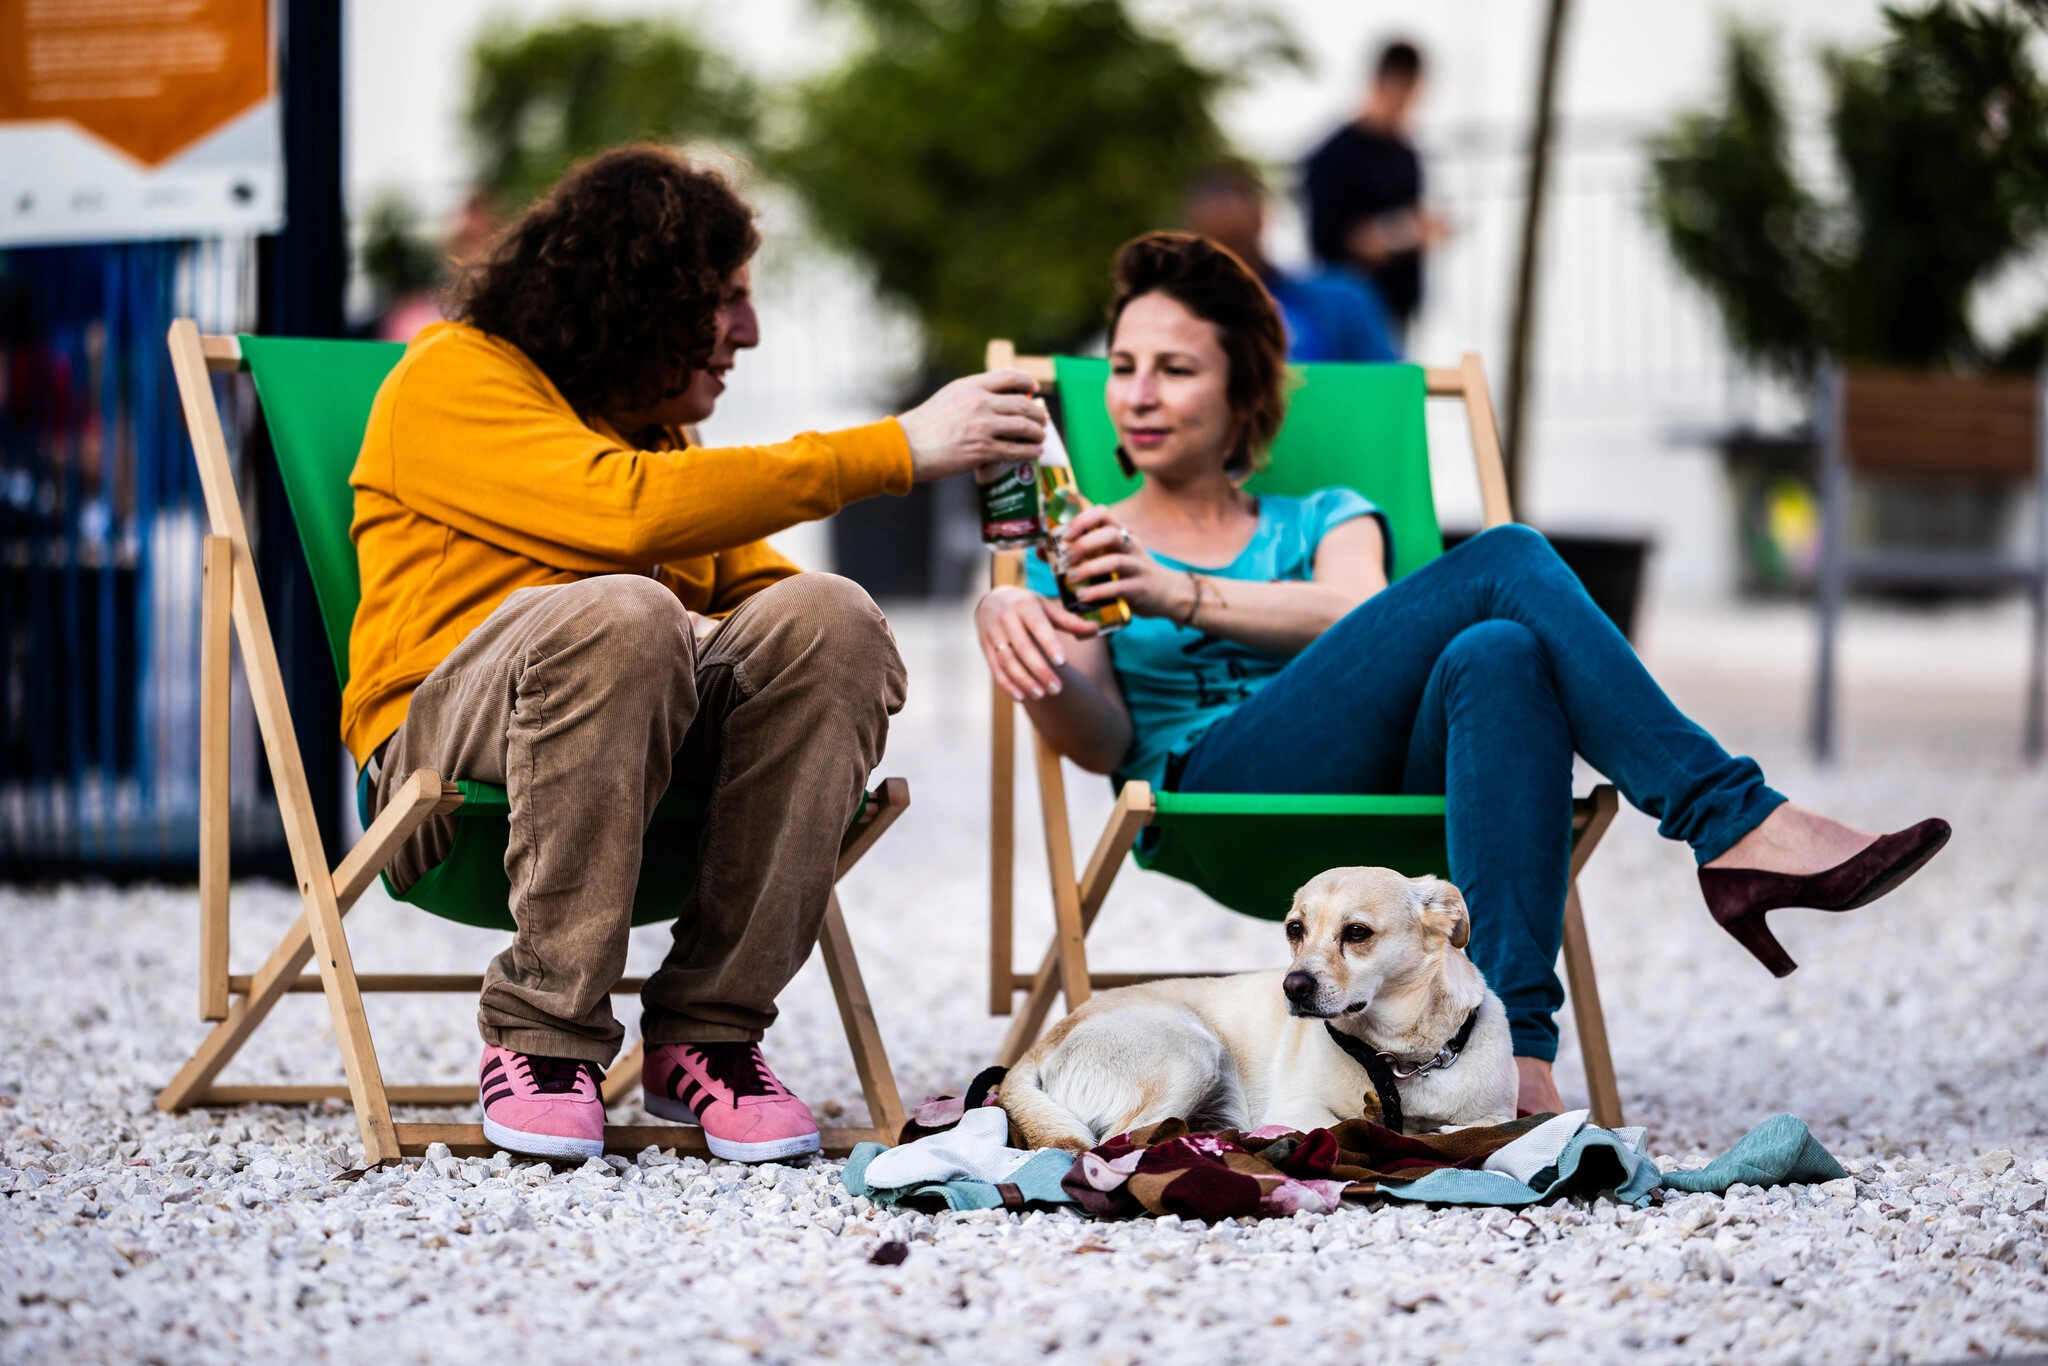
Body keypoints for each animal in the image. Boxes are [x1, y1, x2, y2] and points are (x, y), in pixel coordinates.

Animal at [999, 872, 1515, 1146]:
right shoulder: (1300, 1107)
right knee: (1118, 1141)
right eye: (1294, 929)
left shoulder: (1499, 1113)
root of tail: (1038, 1046)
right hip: (1193, 1054)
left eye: (1357, 932)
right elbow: (1355, 1126)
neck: (1401, 1057)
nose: (1293, 986)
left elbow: (1479, 1125)